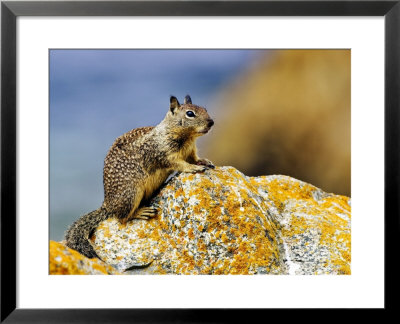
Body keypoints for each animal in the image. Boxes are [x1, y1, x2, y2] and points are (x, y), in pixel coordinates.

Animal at [65, 95, 216, 260]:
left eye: (205, 109)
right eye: (190, 113)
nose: (211, 122)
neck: (186, 137)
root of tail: (107, 205)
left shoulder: (191, 150)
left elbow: (195, 157)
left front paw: (204, 161)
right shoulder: (164, 154)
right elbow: (179, 164)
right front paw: (193, 168)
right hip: (132, 194)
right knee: (122, 218)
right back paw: (141, 212)